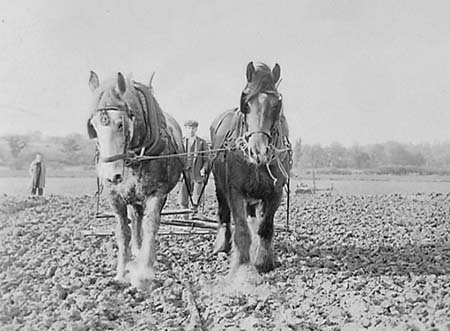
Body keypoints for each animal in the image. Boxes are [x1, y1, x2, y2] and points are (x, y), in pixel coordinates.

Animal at [87, 71, 184, 290]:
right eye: (94, 126)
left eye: (120, 123)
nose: (112, 176)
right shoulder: (115, 197)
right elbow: (123, 232)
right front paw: (121, 273)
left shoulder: (157, 193)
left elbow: (150, 226)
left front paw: (144, 274)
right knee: (136, 219)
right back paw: (137, 251)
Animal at [211, 62, 292, 278]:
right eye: (245, 102)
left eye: (277, 104)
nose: (258, 151)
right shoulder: (235, 191)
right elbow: (241, 228)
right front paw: (241, 262)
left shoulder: (275, 192)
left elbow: (265, 227)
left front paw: (263, 260)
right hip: (219, 185)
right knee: (224, 214)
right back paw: (221, 246)